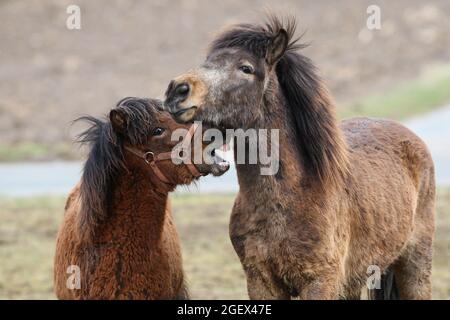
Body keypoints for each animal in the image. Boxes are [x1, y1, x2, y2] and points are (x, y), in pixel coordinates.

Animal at [165, 16, 436, 298]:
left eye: (246, 68)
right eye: (208, 61)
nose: (178, 90)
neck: (291, 196)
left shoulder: (320, 281)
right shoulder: (260, 281)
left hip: (415, 265)